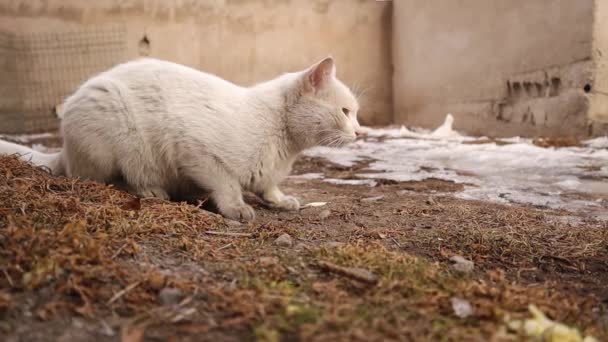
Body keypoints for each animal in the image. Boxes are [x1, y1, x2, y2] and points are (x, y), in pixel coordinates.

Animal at [0, 57, 360, 220]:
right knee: (94, 178)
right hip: (112, 131)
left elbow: (268, 186)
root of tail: (64, 149)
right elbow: (227, 184)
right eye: (345, 111)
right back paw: (150, 190)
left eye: (355, 113)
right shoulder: (197, 151)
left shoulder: (266, 173)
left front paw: (281, 200)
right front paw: (237, 208)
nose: (360, 132)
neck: (285, 144)